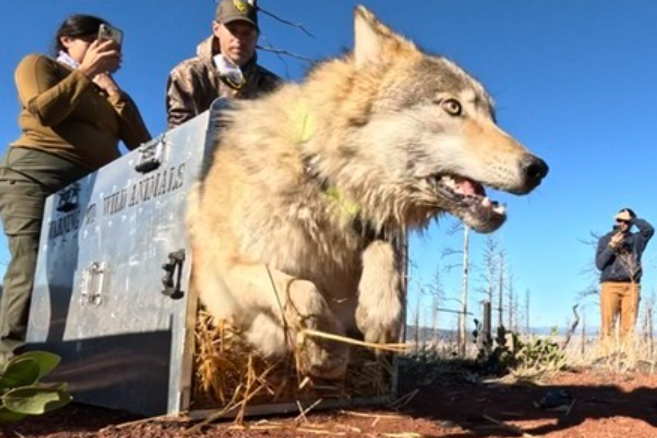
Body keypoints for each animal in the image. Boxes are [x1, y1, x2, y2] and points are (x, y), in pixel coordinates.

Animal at [187, 6, 548, 379]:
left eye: (492, 116)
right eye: (452, 107)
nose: (538, 168)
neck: (319, 179)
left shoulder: (375, 224)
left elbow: (385, 253)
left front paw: (378, 319)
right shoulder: (225, 273)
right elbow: (302, 289)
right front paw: (327, 351)